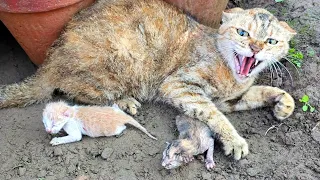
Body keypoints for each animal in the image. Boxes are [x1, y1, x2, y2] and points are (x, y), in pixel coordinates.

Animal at [0, 0, 296, 160]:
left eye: (271, 41)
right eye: (243, 33)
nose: (256, 48)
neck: (232, 76)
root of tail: (49, 60)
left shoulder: (230, 99)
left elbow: (261, 92)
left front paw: (284, 104)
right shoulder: (180, 87)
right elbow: (215, 115)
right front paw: (234, 141)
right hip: (119, 62)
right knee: (76, 91)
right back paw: (126, 100)